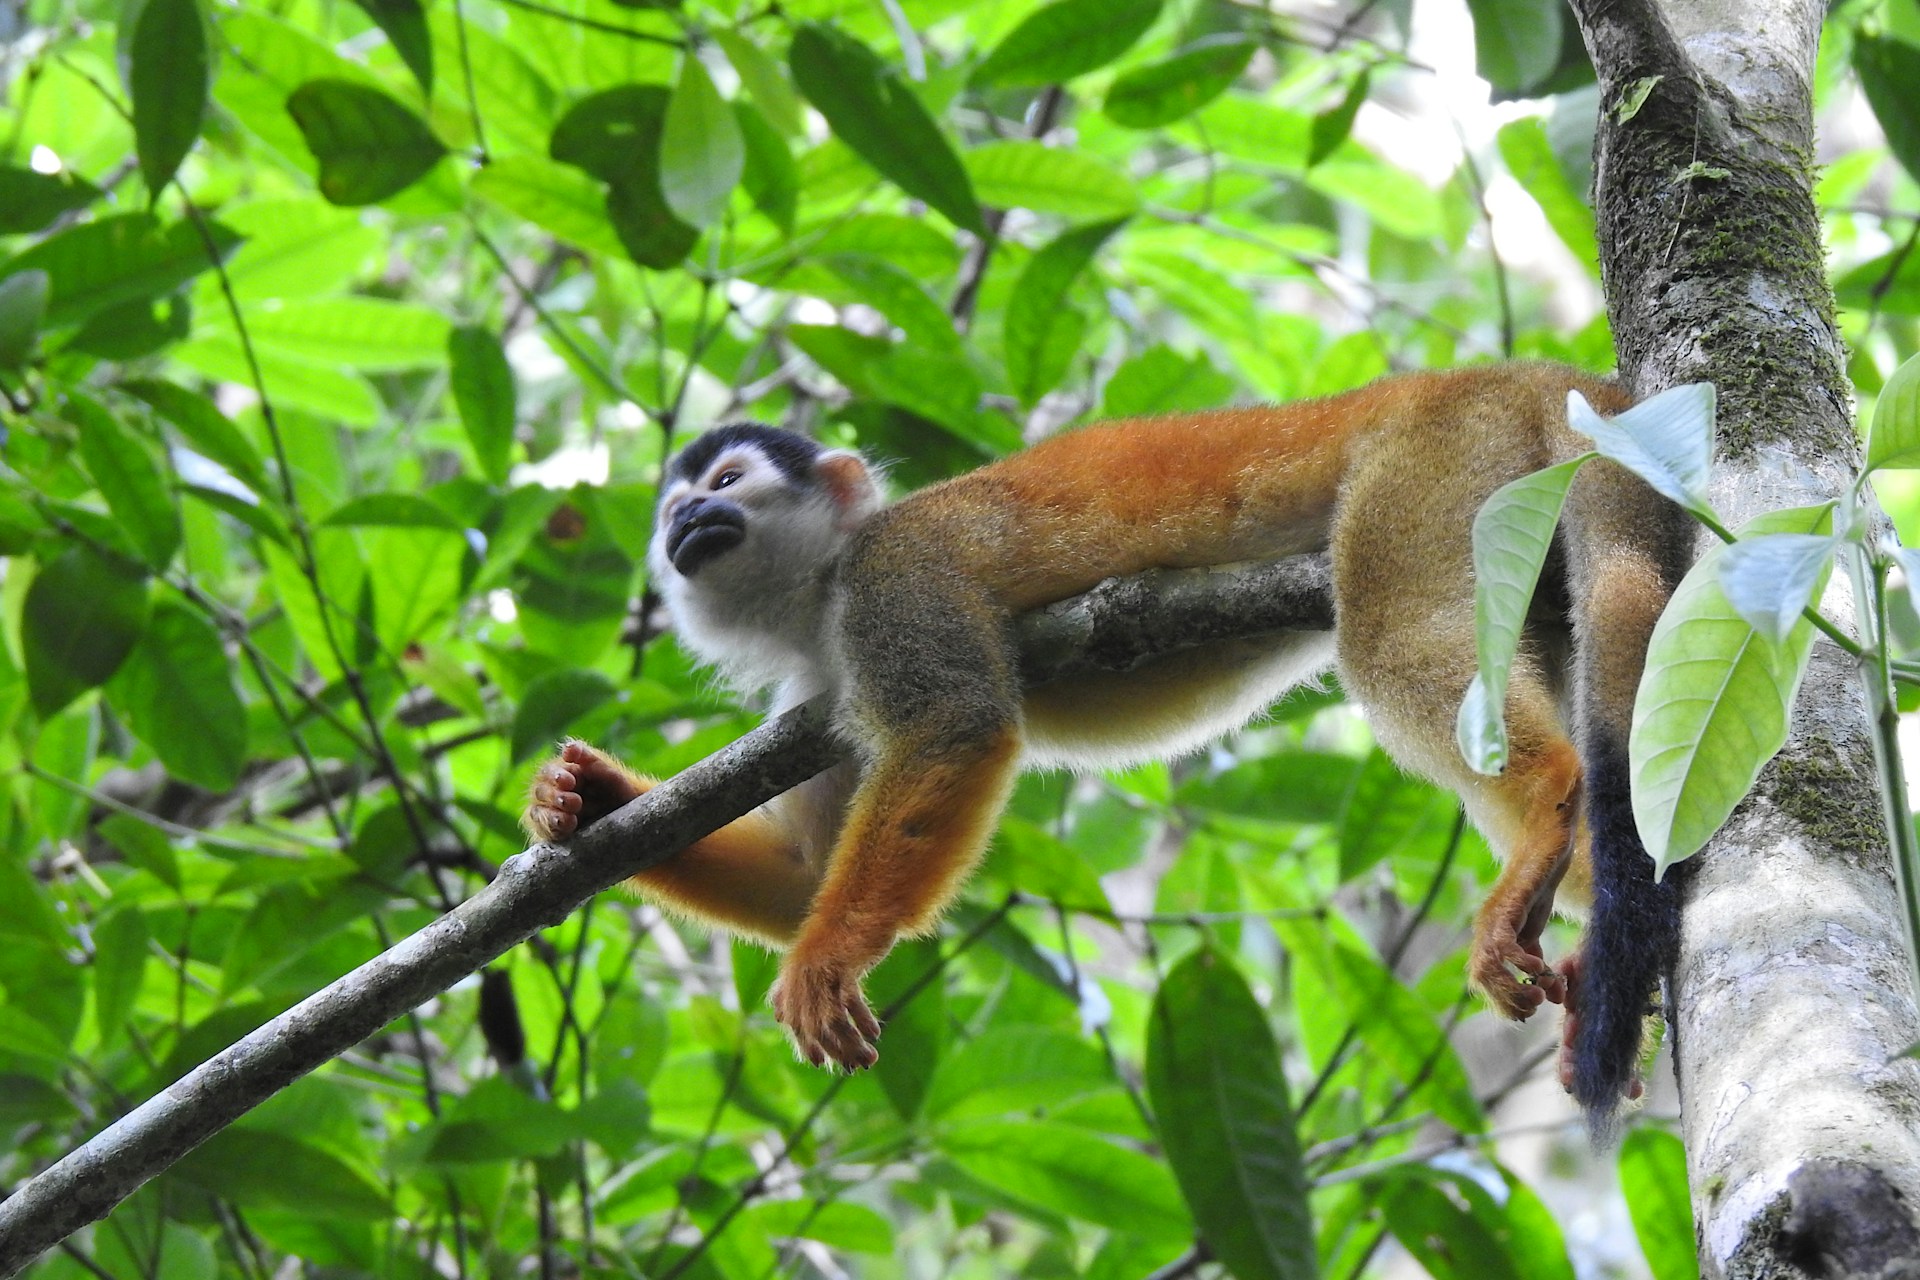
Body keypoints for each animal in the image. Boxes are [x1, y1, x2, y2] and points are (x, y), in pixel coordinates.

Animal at [521, 361, 1695, 1129]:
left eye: (723, 487)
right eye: (674, 507)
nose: (684, 528)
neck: (816, 598)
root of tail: (1506, 369)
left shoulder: (895, 581)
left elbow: (956, 728)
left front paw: (827, 956)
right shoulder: (821, 692)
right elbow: (805, 871)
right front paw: (580, 799)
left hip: (1433, 464)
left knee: (1393, 637)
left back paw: (1544, 803)